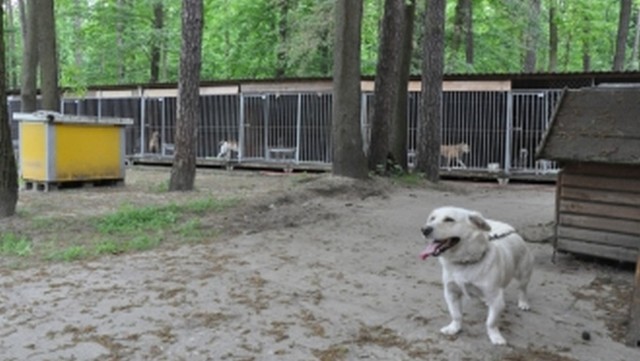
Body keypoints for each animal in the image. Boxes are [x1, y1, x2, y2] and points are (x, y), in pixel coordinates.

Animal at [420, 205, 536, 344]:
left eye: (449, 219)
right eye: (432, 218)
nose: (424, 229)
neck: (464, 263)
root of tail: (512, 231)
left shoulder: (496, 299)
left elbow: (491, 322)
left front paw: (495, 336)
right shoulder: (451, 292)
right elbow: (456, 315)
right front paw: (454, 328)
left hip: (524, 275)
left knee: (522, 289)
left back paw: (523, 303)